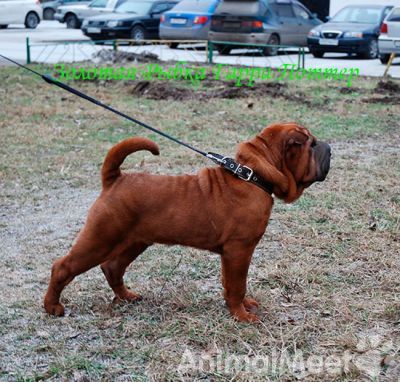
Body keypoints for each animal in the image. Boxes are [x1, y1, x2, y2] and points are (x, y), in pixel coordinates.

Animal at [43, 122, 332, 322]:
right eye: (312, 144)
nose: (329, 147)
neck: (254, 175)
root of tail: (115, 179)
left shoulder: (231, 255)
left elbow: (230, 284)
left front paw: (239, 306)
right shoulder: (239, 250)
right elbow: (237, 285)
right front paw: (241, 315)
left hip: (135, 242)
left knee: (112, 267)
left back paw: (126, 297)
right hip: (99, 239)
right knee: (63, 267)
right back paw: (52, 307)